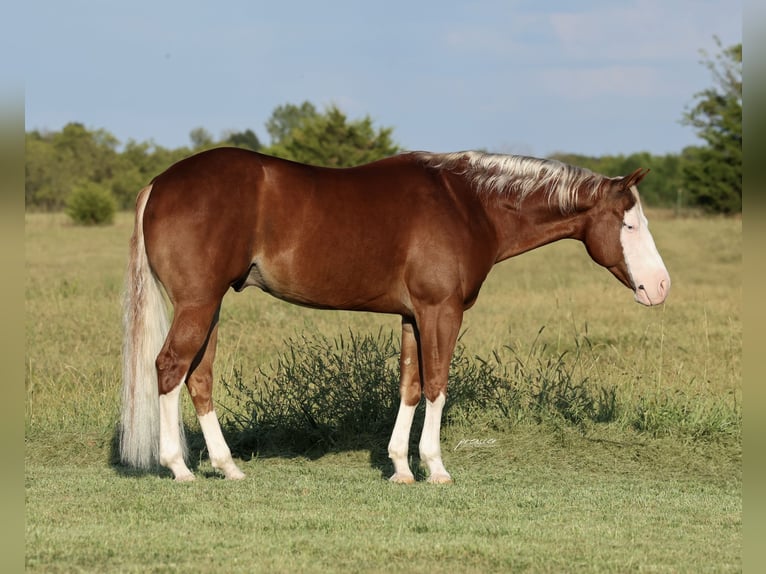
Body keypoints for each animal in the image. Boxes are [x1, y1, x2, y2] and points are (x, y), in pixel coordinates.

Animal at [120, 148, 670, 483]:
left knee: (199, 378)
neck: (468, 204)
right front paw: (435, 467)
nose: (660, 287)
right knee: (169, 368)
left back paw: (227, 466)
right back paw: (179, 467)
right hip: (198, 304)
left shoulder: (412, 316)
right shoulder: (441, 312)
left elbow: (409, 385)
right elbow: (437, 384)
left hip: (211, 306)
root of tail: (159, 184)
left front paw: (401, 468)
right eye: (629, 223)